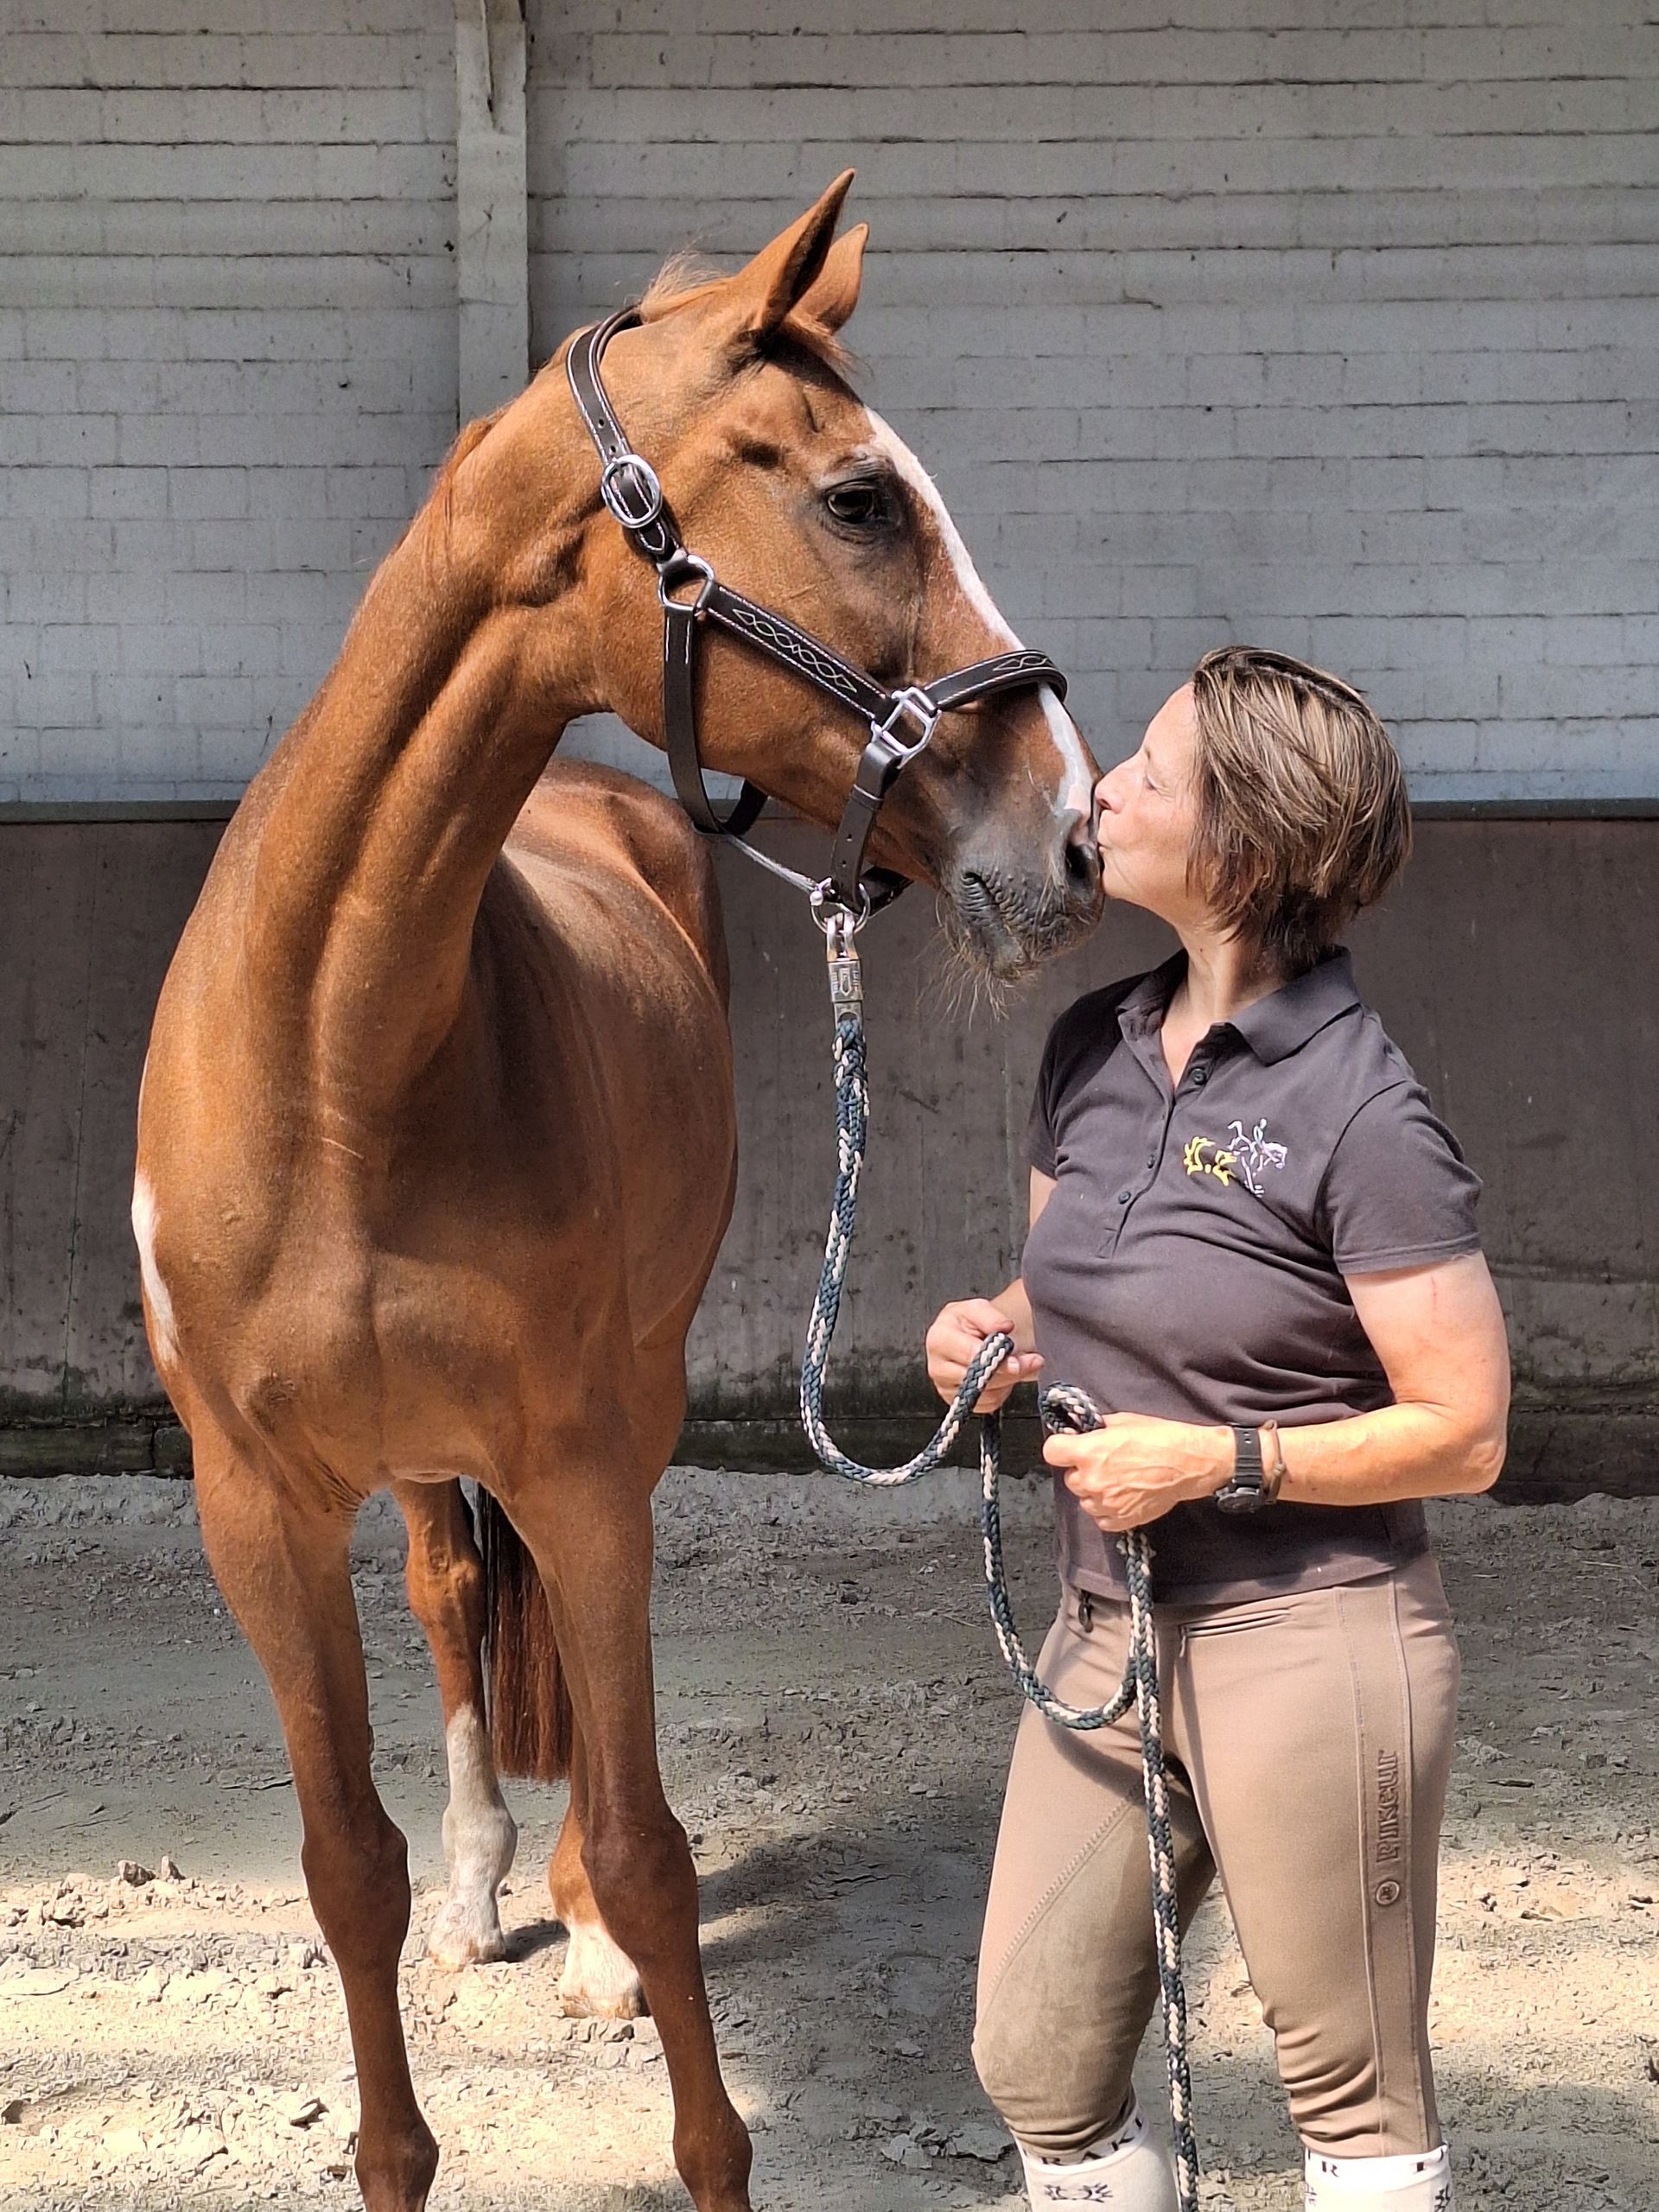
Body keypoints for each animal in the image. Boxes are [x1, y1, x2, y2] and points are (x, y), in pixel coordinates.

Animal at [131, 173, 1102, 2212]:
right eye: (859, 500)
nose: (1071, 834)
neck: (342, 1058)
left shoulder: (578, 1460)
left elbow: (656, 1848)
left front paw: (652, 2020)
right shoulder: (257, 1510)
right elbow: (342, 1867)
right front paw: (403, 2113)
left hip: (622, 1409)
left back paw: (570, 1923)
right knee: (446, 1592)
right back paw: (494, 1880)